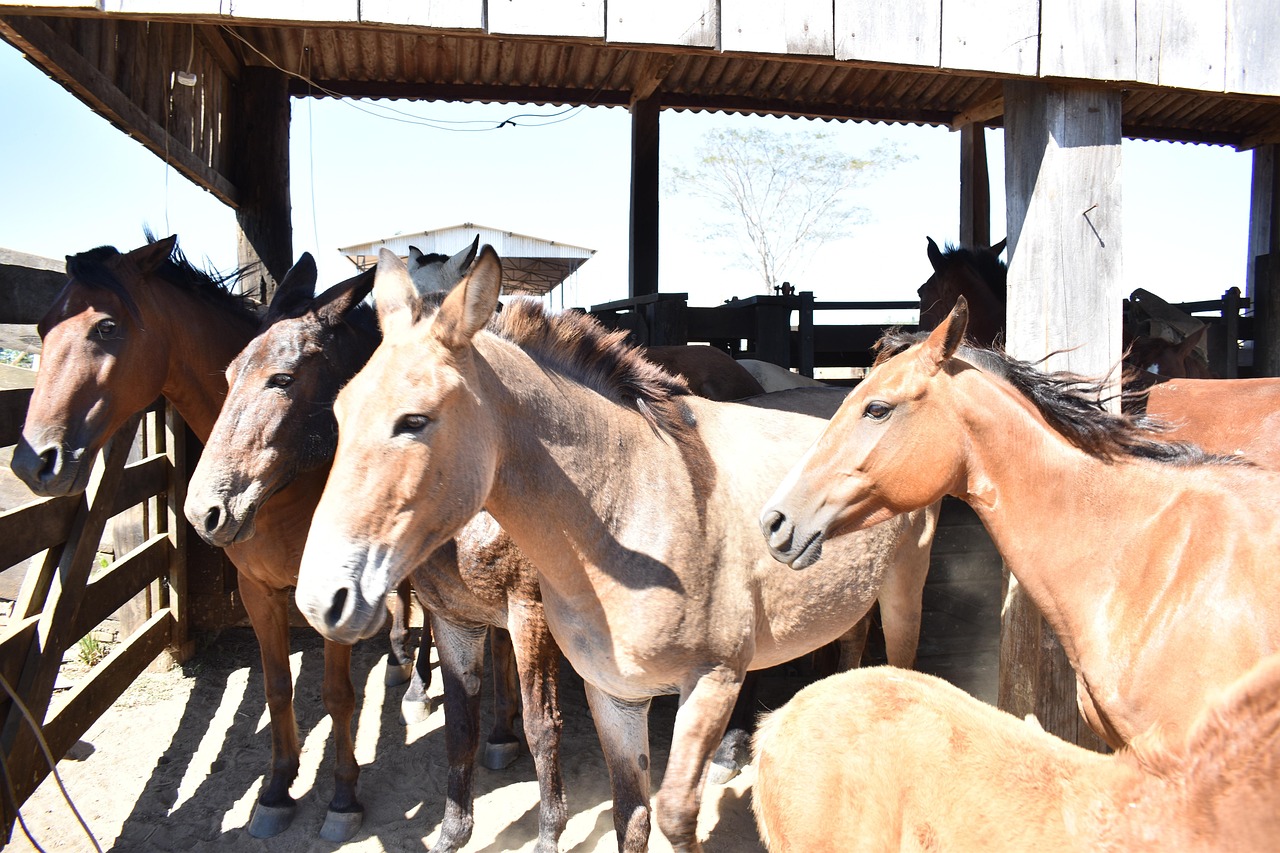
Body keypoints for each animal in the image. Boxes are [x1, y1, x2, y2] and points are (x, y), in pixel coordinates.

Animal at [8, 237, 411, 841]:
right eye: (40, 326)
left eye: (106, 326)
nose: (34, 462)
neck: (291, 492)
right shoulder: (256, 591)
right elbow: (277, 688)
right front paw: (277, 788)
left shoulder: (331, 597)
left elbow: (338, 696)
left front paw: (342, 797)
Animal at [289, 245, 936, 852]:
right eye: (340, 411)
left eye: (414, 421)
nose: (321, 599)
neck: (631, 511)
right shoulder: (613, 695)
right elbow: (631, 816)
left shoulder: (710, 683)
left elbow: (673, 814)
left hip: (903, 590)